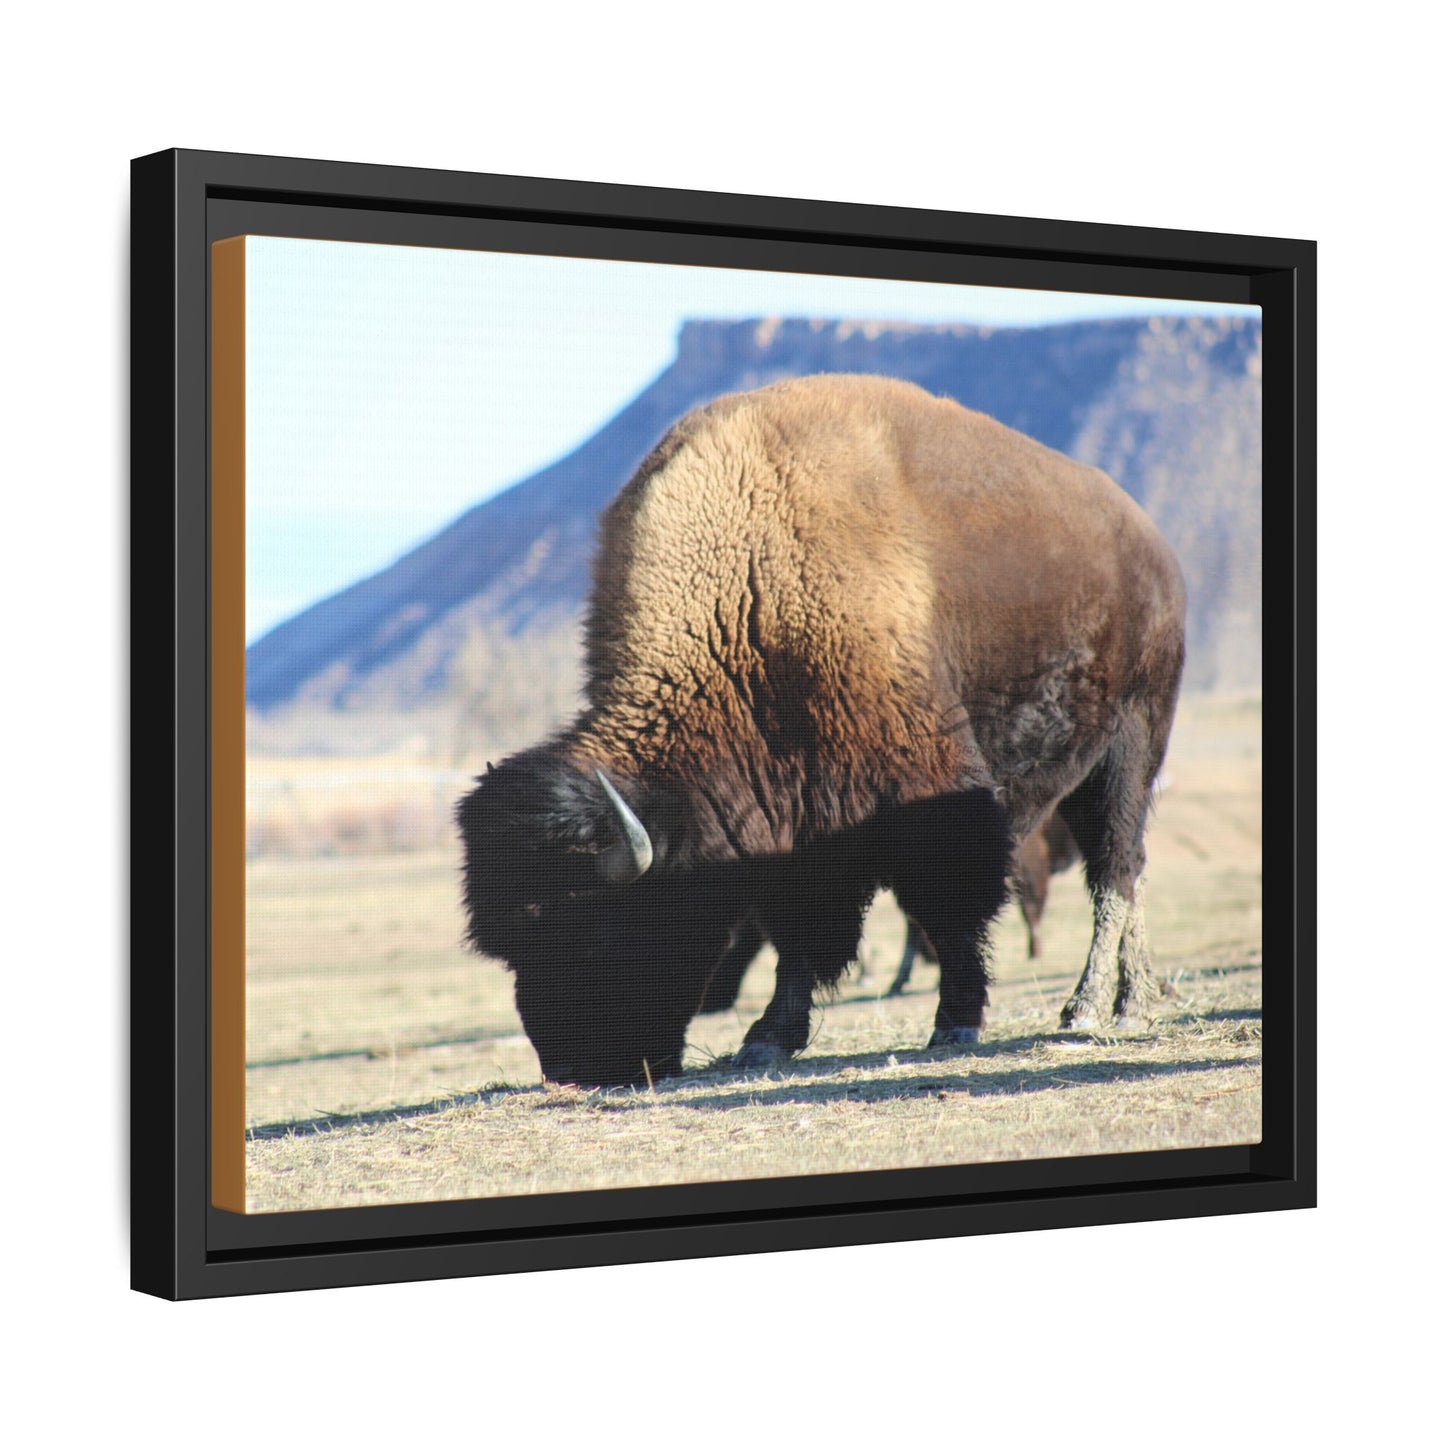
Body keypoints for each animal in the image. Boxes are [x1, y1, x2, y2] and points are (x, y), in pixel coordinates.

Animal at [458, 374, 1185, 1086]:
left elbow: (948, 908)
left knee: (1115, 869)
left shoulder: (928, 791)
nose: (570, 1070)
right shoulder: (793, 823)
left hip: (1129, 746)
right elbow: (798, 934)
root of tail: (1151, 546)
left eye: (593, 928)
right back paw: (1132, 997)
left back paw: (1095, 1006)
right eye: (510, 946)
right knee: (1127, 869)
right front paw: (767, 1039)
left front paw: (955, 1022)